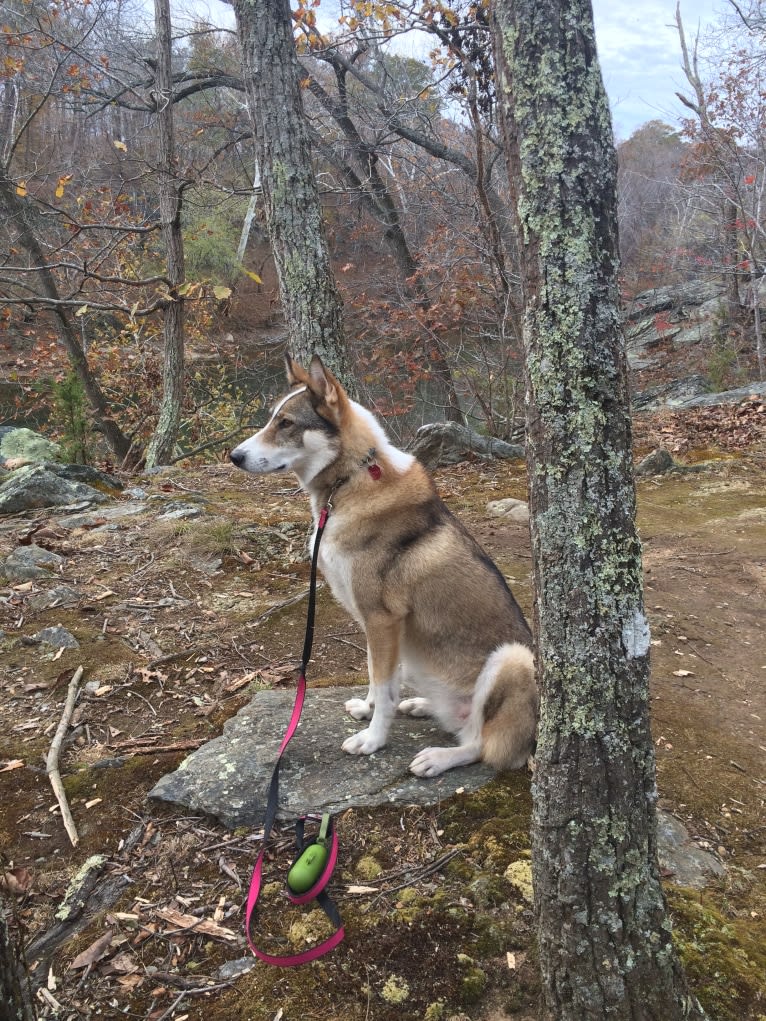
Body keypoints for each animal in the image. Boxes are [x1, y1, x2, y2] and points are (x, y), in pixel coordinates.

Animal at [230, 355, 535, 775]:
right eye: (272, 419)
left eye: (286, 423)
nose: (234, 456)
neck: (348, 480)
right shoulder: (372, 623)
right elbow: (378, 680)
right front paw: (367, 708)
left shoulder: (381, 618)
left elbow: (385, 687)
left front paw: (373, 740)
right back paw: (423, 705)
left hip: (514, 658)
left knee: (481, 745)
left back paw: (438, 758)